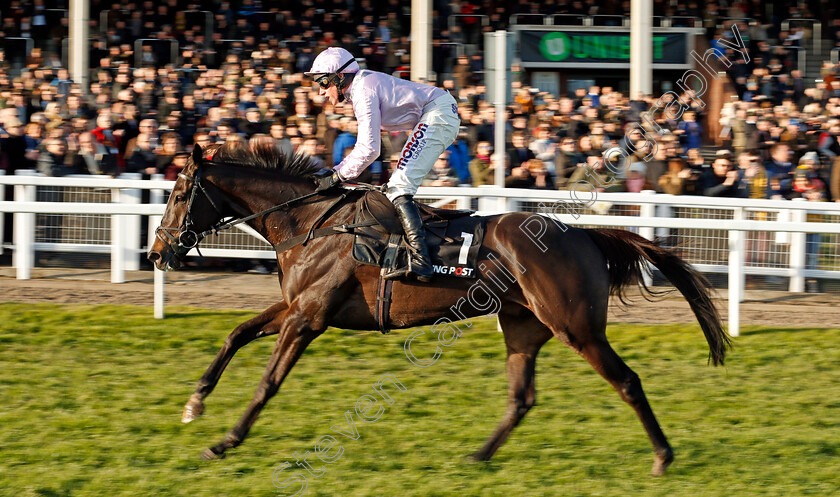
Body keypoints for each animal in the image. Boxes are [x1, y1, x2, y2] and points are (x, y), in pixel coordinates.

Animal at [146, 141, 728, 474]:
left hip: (577, 327)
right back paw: (478, 457)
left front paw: (225, 442)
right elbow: (236, 333)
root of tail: (585, 234)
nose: (156, 253)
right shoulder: (294, 305)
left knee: (626, 380)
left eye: (177, 195)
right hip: (523, 326)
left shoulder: (308, 318)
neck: (311, 223)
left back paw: (663, 457)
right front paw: (194, 404)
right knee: (522, 398)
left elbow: (268, 382)